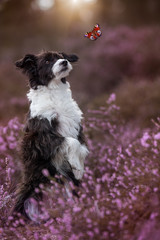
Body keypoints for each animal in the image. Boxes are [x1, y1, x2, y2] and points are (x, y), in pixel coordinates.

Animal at [13, 50, 89, 221]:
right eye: (47, 61)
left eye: (61, 57)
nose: (65, 62)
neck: (54, 92)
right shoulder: (42, 139)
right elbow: (71, 142)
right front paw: (77, 167)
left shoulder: (76, 128)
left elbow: (80, 147)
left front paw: (78, 166)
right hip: (29, 190)